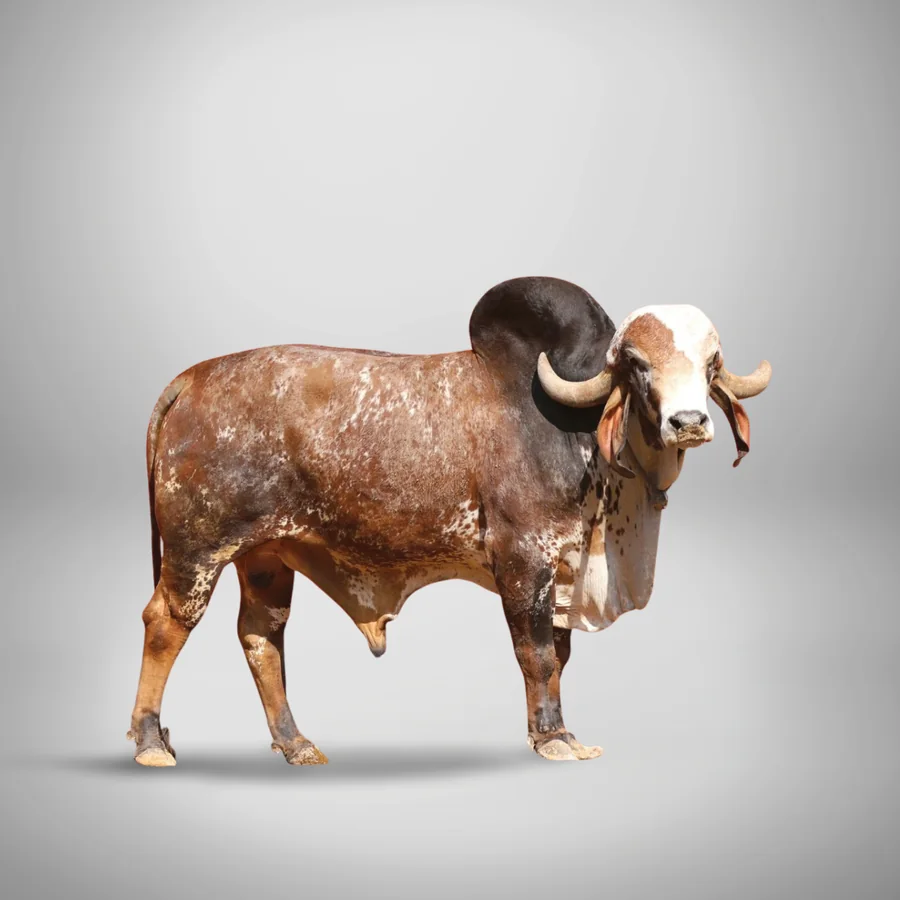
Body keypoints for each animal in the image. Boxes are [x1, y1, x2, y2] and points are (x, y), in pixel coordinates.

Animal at [128, 276, 771, 766]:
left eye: (711, 362)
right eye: (636, 364)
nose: (688, 422)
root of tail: (190, 379)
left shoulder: (562, 565)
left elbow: (559, 655)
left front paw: (559, 731)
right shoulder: (524, 557)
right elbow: (537, 653)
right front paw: (552, 739)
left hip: (264, 557)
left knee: (261, 636)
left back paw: (295, 744)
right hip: (196, 551)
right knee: (165, 624)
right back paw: (150, 741)